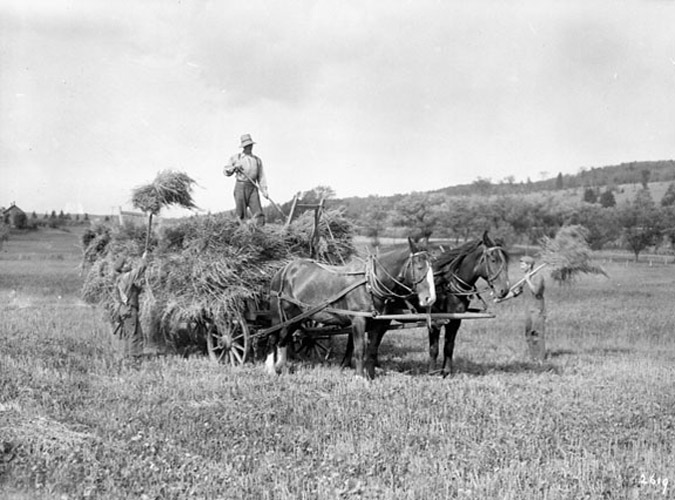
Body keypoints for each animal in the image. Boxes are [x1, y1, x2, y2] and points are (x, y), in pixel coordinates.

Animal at [266, 237, 436, 379]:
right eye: (419, 266)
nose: (430, 298)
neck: (369, 283)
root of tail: (285, 269)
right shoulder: (358, 320)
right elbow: (359, 349)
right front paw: (359, 377)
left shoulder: (378, 323)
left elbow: (372, 350)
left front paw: (370, 376)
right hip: (278, 314)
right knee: (274, 337)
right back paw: (270, 368)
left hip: (296, 316)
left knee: (284, 339)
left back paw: (280, 367)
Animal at [426, 231, 510, 375]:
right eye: (493, 260)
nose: (504, 290)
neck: (446, 285)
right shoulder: (434, 321)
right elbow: (434, 348)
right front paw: (432, 372)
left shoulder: (455, 320)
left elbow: (449, 346)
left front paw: (446, 371)